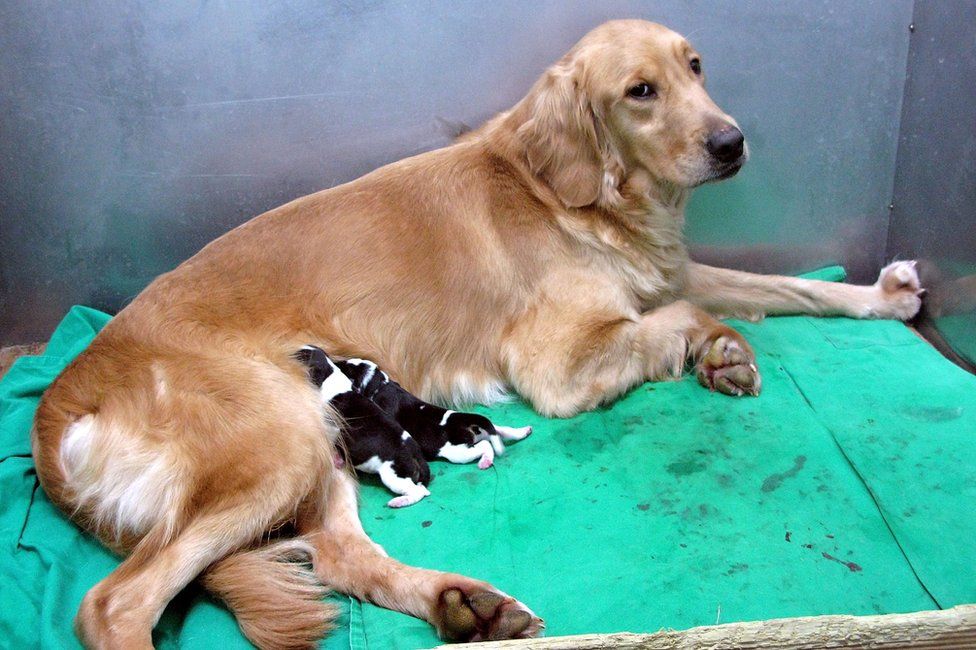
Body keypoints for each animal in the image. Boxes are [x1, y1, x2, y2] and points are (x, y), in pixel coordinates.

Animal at [294, 344, 430, 506]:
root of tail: (416, 453)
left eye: (299, 356)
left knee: (419, 492)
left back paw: (399, 501)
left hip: (394, 475)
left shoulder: (332, 426)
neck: (329, 375)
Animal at [336, 354, 532, 466]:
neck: (379, 384)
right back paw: (523, 431)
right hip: (486, 430)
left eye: (346, 368)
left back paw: (486, 460)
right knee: (500, 430)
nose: (336, 362)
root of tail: (468, 422)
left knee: (485, 446)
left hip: (458, 452)